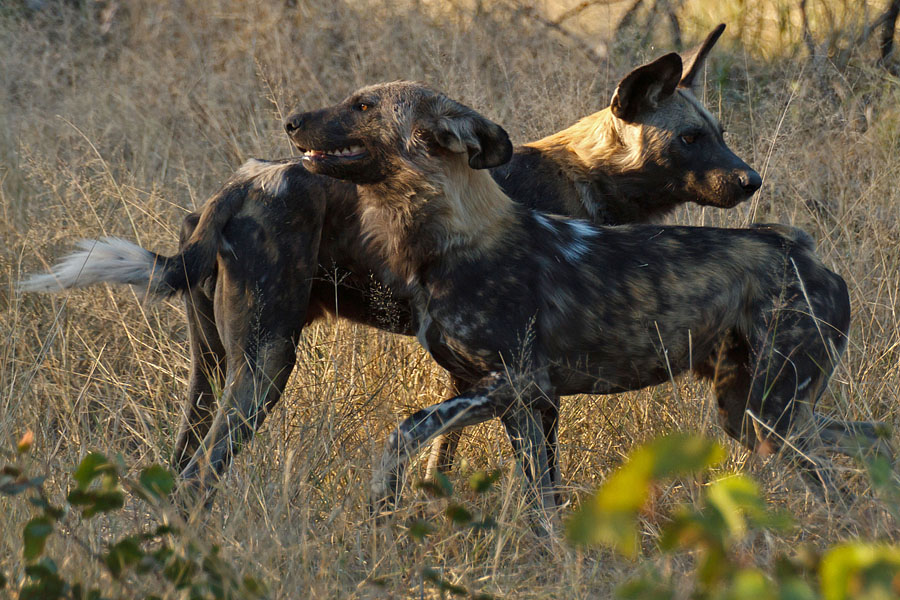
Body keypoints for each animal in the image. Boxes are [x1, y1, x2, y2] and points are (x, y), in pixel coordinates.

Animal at [24, 25, 784, 500]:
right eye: (689, 139)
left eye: (718, 133)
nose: (751, 180)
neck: (586, 174)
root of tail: (234, 189)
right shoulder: (528, 386)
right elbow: (534, 481)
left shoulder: (472, 373)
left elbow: (439, 459)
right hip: (264, 368)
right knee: (199, 477)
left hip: (211, 373)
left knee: (178, 467)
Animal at [284, 81, 884, 520]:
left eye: (362, 106)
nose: (291, 120)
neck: (447, 238)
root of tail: (801, 248)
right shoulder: (520, 404)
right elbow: (541, 504)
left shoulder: (516, 385)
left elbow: (407, 429)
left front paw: (382, 497)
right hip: (751, 412)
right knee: (870, 440)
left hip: (770, 414)